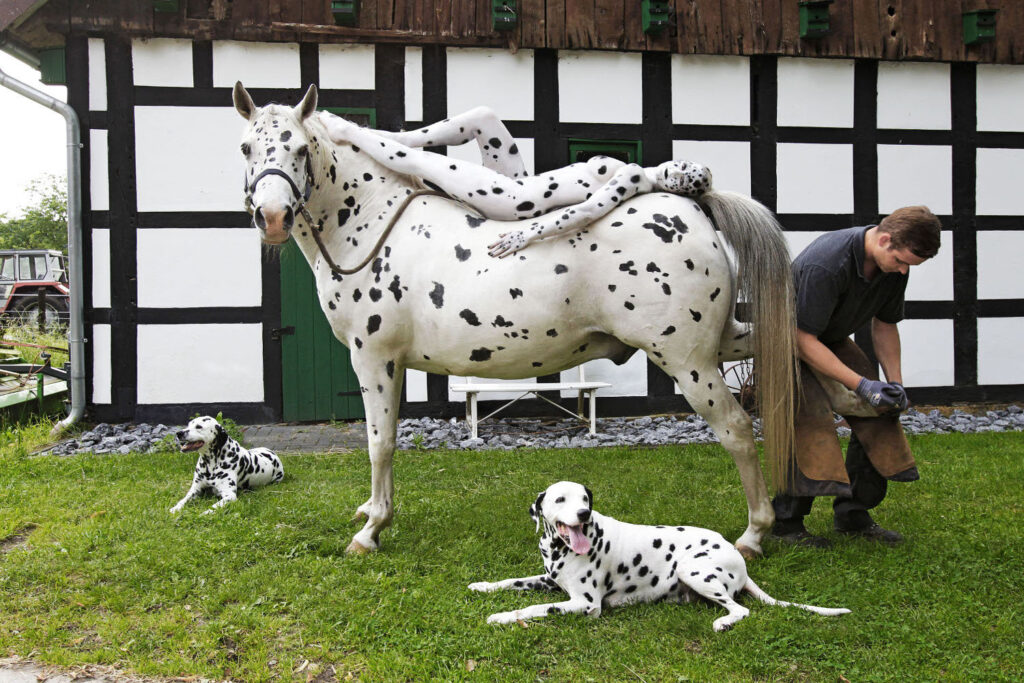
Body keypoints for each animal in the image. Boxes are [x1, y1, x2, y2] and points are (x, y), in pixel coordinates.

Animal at [319, 109, 712, 259]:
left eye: (687, 180)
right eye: (682, 171)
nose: (674, 177)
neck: (648, 173)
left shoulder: (627, 180)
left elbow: (584, 210)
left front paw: (520, 238)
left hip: (498, 191)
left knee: (418, 160)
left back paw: (341, 128)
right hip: (505, 167)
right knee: (480, 115)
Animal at [468, 483, 847, 634]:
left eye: (585, 498)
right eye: (561, 499)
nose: (584, 513)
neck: (560, 547)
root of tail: (735, 555)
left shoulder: (586, 604)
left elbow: (536, 607)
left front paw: (502, 616)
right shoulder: (548, 578)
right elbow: (512, 581)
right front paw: (482, 586)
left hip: (695, 570)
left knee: (740, 609)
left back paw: (724, 622)